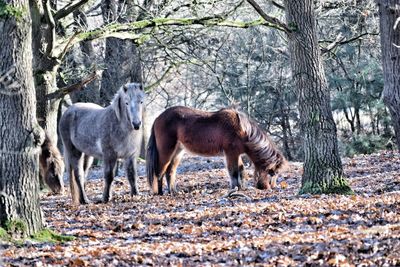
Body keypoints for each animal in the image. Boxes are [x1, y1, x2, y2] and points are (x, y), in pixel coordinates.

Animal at [147, 105, 288, 196]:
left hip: (178, 152)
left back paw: (174, 192)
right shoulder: (230, 153)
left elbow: (241, 171)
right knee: (160, 171)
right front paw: (235, 188)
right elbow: (234, 171)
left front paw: (241, 188)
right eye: (273, 173)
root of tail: (157, 118)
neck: (242, 130)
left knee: (170, 172)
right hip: (166, 151)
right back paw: (160, 193)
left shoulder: (236, 154)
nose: (269, 188)